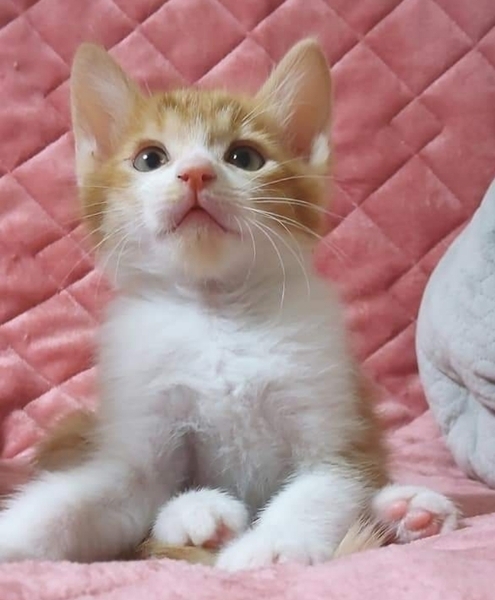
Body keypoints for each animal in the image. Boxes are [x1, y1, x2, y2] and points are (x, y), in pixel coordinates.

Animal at [0, 39, 458, 569]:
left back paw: (408, 510)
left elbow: (323, 487)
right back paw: (200, 516)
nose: (196, 173)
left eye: (245, 156)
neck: (217, 311)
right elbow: (87, 498)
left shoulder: (335, 424)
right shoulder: (137, 442)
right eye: (149, 159)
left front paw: (272, 547)